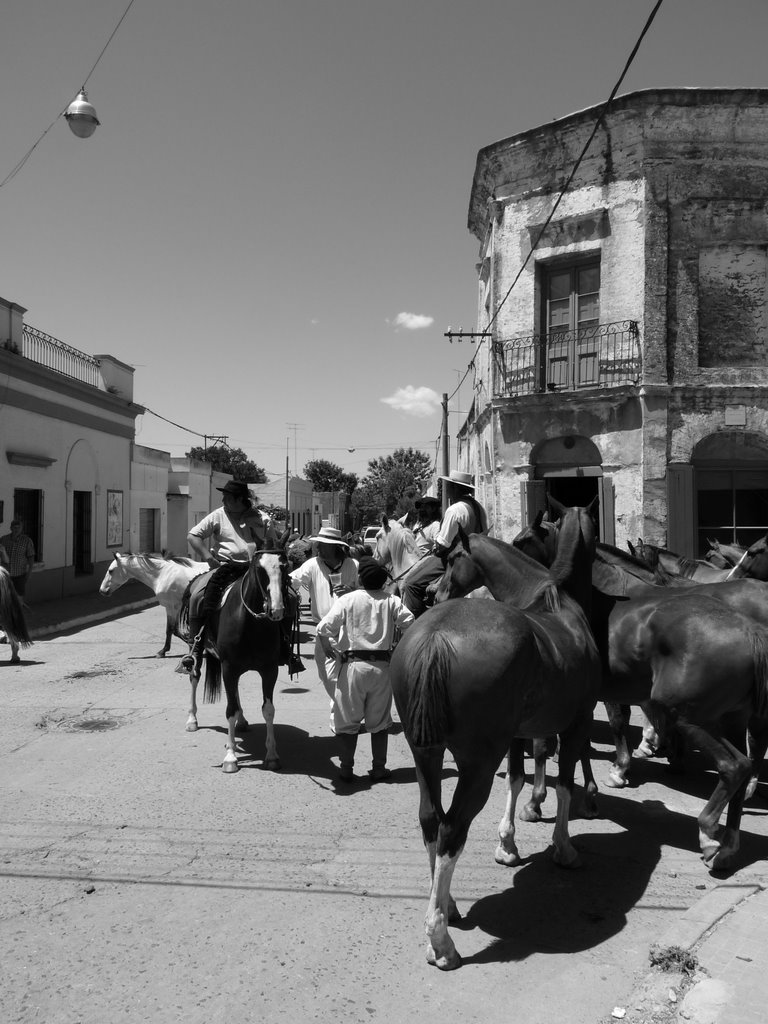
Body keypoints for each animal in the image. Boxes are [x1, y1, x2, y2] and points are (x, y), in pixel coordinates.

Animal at [391, 503, 602, 966]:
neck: (548, 599)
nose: (436, 593)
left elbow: (519, 777)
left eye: (453, 558)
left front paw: (508, 844)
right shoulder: (575, 723)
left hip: (425, 753)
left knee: (431, 820)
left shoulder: (520, 733)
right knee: (452, 829)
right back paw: (440, 939)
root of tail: (435, 634)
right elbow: (562, 784)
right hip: (477, 764)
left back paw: (445, 905)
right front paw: (563, 848)